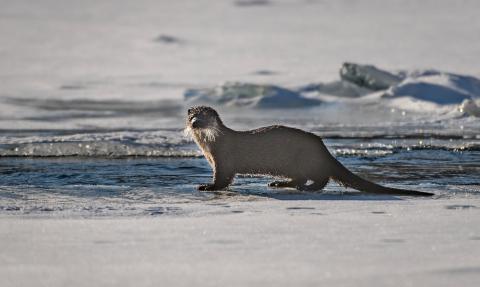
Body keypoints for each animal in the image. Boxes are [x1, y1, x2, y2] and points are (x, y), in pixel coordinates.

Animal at [186, 106, 434, 198]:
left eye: (205, 116)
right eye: (192, 116)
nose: (196, 122)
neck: (210, 147)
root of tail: (323, 148)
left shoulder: (223, 159)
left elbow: (223, 178)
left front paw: (206, 186)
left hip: (305, 159)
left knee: (320, 178)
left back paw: (306, 188)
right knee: (302, 177)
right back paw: (279, 183)